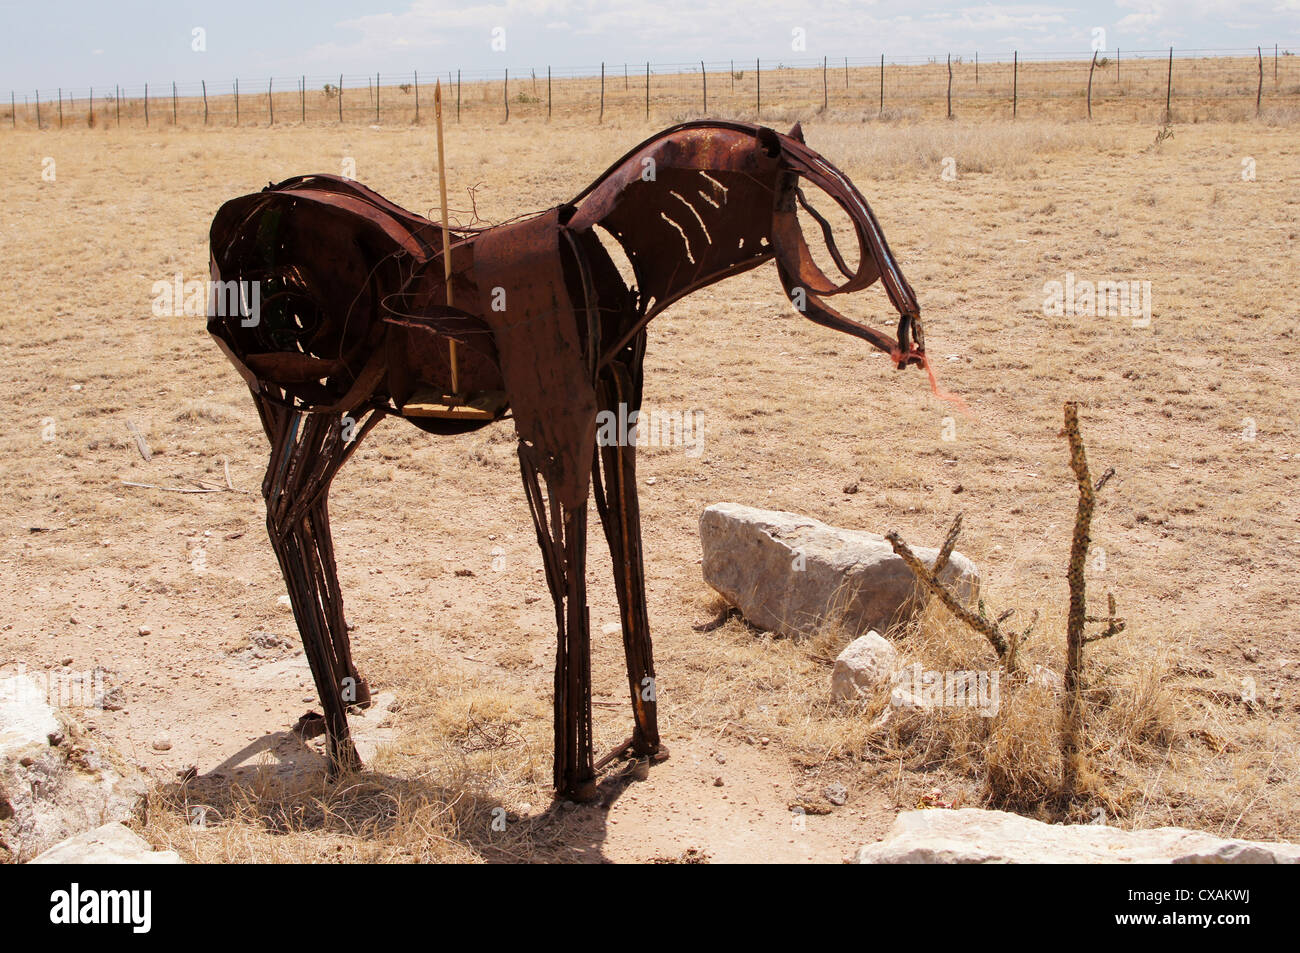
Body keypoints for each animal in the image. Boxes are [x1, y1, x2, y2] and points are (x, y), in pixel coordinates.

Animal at [207, 119, 927, 800]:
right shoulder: (559, 426)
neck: (613, 260)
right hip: (320, 398)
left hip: (326, 408)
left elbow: (621, 539)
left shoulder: (615, 407)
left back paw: (349, 693)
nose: (912, 333)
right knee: (281, 508)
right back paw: (344, 750)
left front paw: (644, 743)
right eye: (824, 216)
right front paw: (577, 773)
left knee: (306, 506)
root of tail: (241, 216)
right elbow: (572, 559)